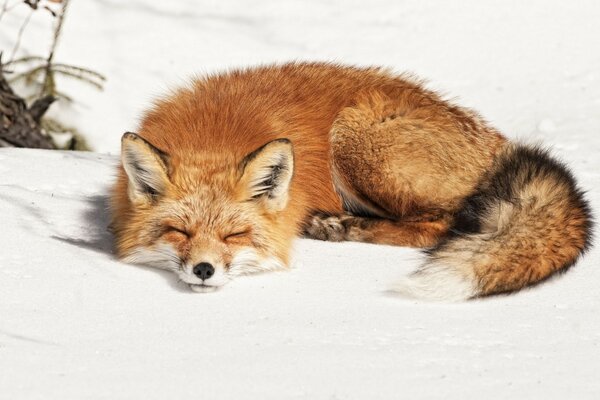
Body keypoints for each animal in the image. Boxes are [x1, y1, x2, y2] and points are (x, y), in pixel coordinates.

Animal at [108, 61, 592, 300]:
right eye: (179, 231)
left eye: (235, 235)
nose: (204, 270)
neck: (213, 135)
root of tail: (498, 141)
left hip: (354, 137)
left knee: (439, 225)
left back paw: (340, 226)